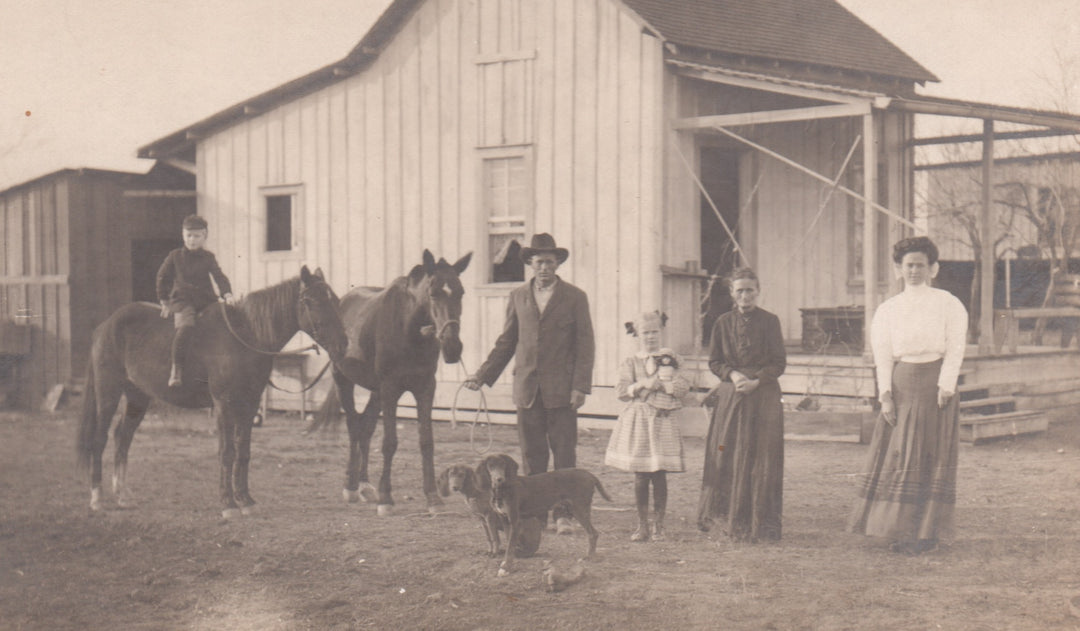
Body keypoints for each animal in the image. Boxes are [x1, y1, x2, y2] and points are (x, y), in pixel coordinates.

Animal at [77, 265, 345, 518]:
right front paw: (228, 504)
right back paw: (96, 499)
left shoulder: (249, 405)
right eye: (312, 301)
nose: (342, 344)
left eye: (333, 298)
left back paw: (122, 496)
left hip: (137, 397)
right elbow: (226, 452)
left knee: (123, 437)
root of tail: (104, 326)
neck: (246, 336)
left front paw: (245, 501)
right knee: (100, 439)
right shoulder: (224, 404)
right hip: (108, 393)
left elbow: (243, 451)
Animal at [317, 248, 475, 514]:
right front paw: (386, 498)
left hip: (376, 392)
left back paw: (364, 485)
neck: (408, 329)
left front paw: (433, 497)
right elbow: (389, 442)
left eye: (461, 292)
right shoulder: (391, 388)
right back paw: (351, 487)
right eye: (433, 293)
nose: (453, 347)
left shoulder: (425, 388)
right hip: (344, 381)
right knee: (354, 427)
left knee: (366, 428)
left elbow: (426, 441)